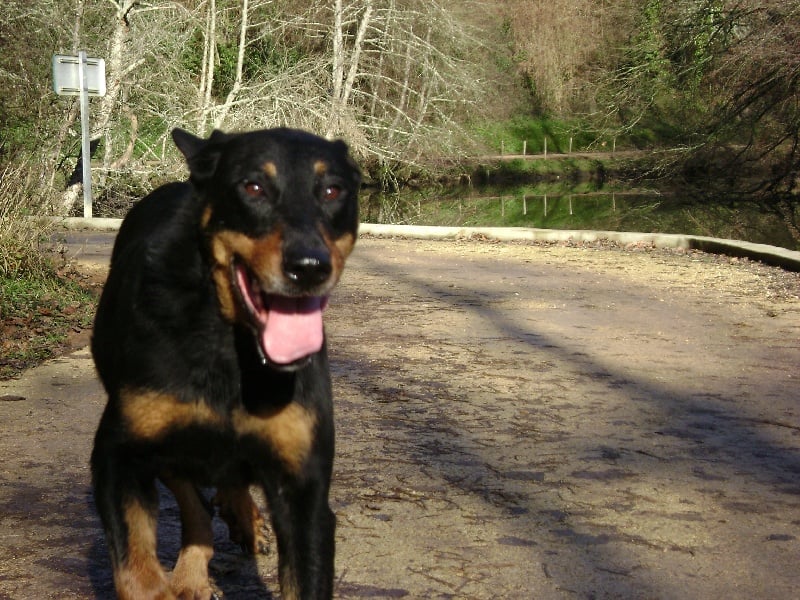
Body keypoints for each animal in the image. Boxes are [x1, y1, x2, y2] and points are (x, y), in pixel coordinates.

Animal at [90, 127, 360, 600]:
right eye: (252, 187)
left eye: (333, 190)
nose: (309, 266)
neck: (234, 352)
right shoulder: (117, 458)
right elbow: (138, 574)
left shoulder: (303, 492)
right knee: (192, 496)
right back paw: (193, 573)